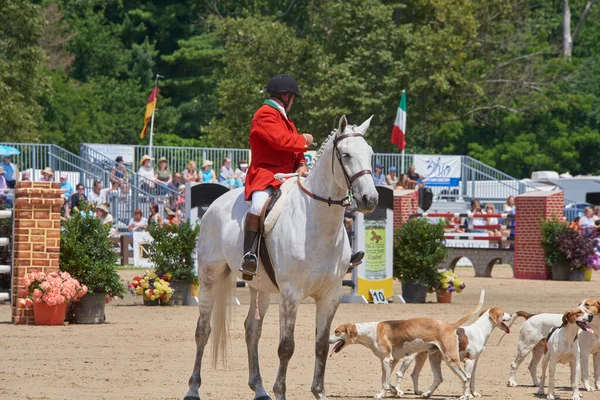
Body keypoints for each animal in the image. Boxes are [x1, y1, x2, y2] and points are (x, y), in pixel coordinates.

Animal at [328, 290, 482, 398]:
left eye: (336, 332)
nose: (327, 340)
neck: (370, 331)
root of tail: (449, 325)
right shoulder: (392, 360)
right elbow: (385, 380)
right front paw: (394, 391)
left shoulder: (386, 360)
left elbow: (384, 382)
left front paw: (381, 394)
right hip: (433, 358)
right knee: (439, 378)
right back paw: (426, 394)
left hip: (450, 359)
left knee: (465, 377)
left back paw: (465, 396)